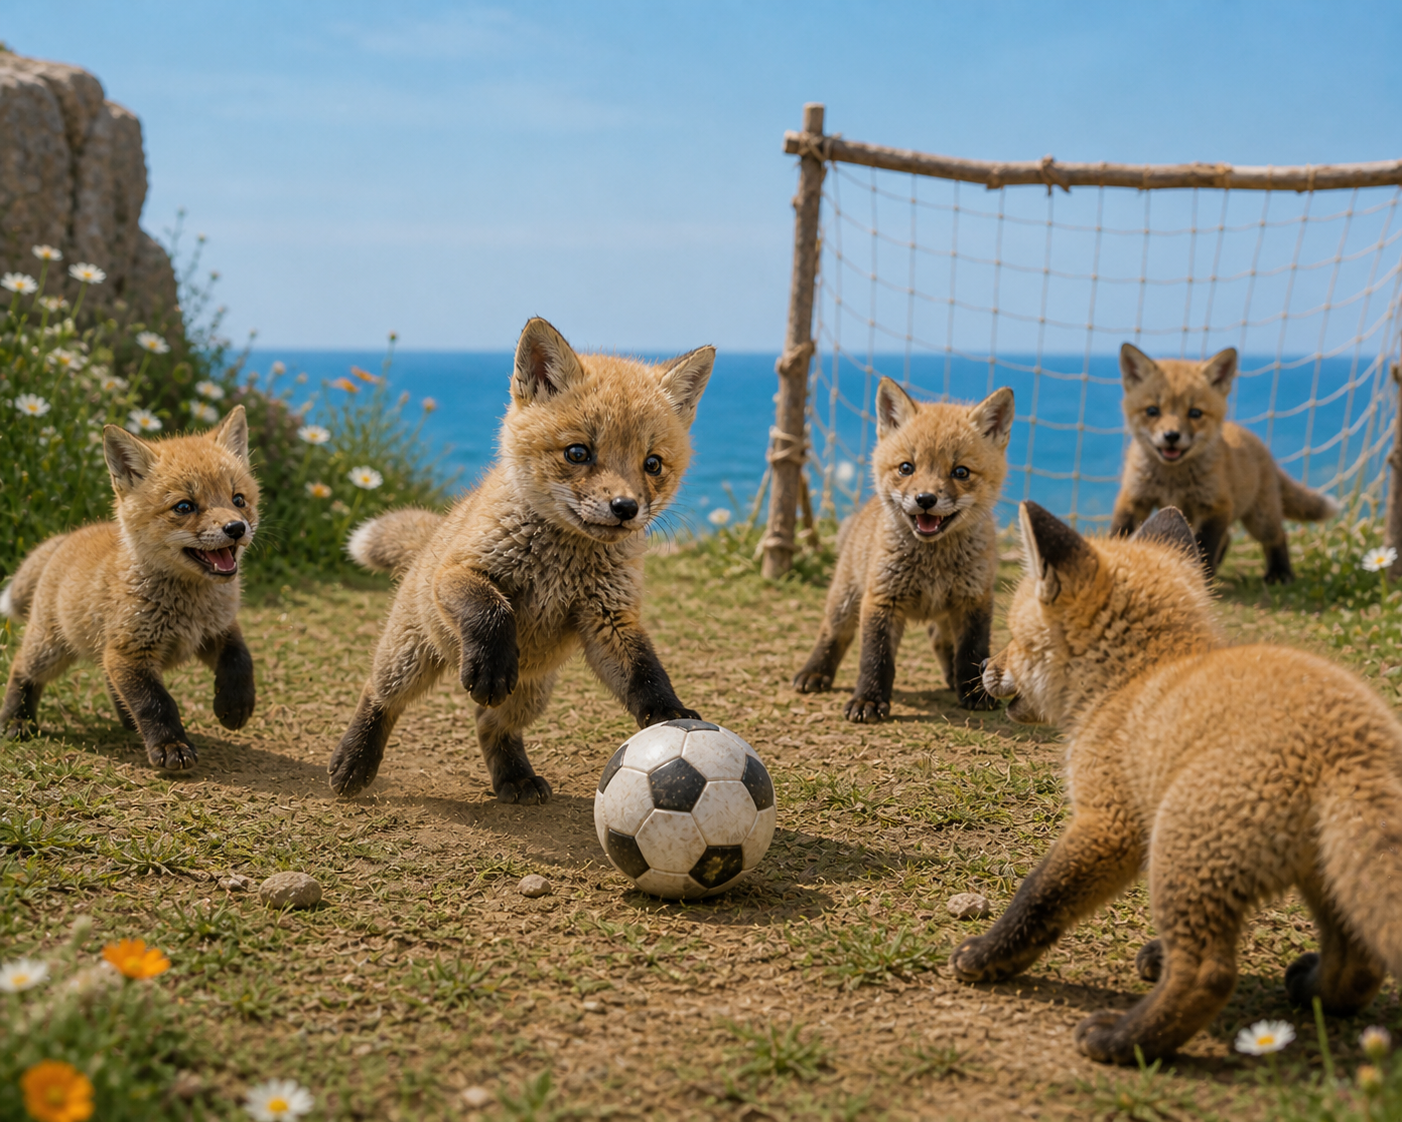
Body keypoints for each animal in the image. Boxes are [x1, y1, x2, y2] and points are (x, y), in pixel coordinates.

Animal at [0, 407, 259, 769]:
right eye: (184, 506)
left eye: (238, 499)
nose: (236, 528)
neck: (189, 608)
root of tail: (67, 537)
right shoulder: (129, 651)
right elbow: (155, 702)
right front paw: (171, 745)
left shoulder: (217, 630)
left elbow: (241, 660)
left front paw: (234, 706)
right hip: (50, 648)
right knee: (21, 669)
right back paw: (17, 720)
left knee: (110, 682)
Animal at [328, 317, 712, 802]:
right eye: (578, 453)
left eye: (653, 463)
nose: (625, 508)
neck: (560, 564)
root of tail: (431, 537)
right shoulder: (458, 572)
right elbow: (491, 610)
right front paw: (490, 666)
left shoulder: (609, 615)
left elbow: (645, 674)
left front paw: (670, 717)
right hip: (409, 656)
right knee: (379, 695)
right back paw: (354, 761)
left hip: (532, 691)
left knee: (490, 726)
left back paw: (514, 777)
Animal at [793, 378, 1014, 719]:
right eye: (906, 468)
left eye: (961, 472)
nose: (925, 499)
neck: (933, 563)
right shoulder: (882, 599)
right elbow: (876, 657)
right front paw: (868, 700)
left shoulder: (974, 599)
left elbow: (972, 651)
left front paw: (973, 693)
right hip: (845, 598)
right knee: (833, 633)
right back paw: (815, 672)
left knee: (940, 639)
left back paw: (952, 678)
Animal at [954, 500, 1402, 1063]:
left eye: (1015, 634)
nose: (985, 668)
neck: (1131, 681)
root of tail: (1353, 750)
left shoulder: (1109, 824)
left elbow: (1038, 895)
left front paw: (989, 955)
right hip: (1325, 877)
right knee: (1359, 959)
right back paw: (1312, 989)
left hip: (1182, 852)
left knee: (1209, 974)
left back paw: (1123, 1041)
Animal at [1109, 343, 1338, 582]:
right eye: (1152, 411)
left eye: (1195, 413)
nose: (1171, 436)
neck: (1173, 478)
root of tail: (1257, 441)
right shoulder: (1134, 498)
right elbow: (1119, 533)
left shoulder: (1216, 506)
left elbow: (1205, 547)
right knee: (1227, 538)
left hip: (1260, 520)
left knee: (1277, 536)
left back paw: (1280, 573)